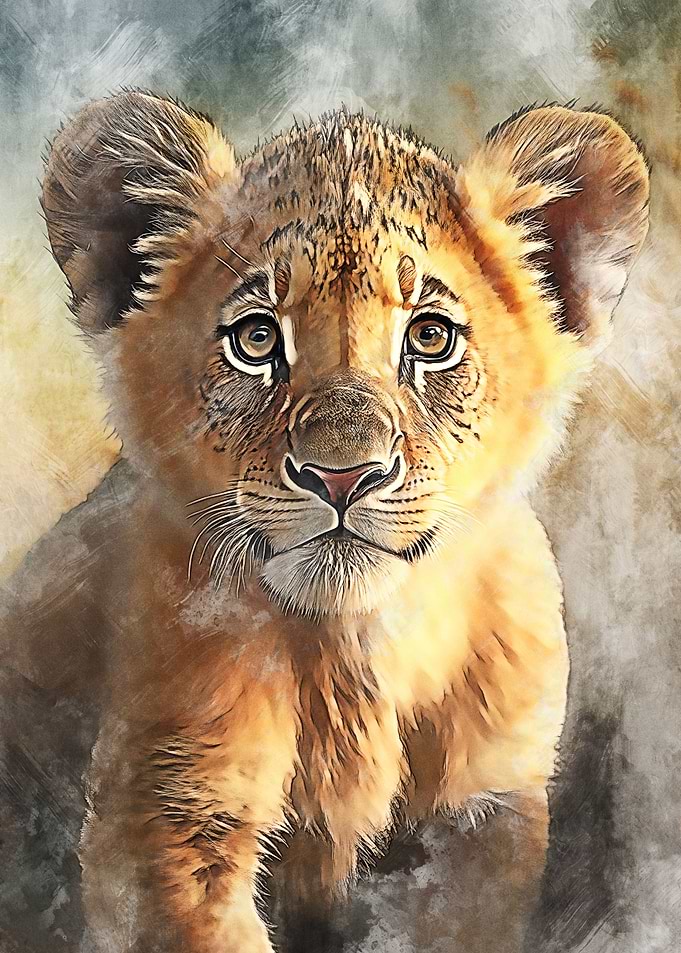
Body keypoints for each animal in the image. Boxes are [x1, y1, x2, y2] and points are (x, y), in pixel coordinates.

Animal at [0, 91, 648, 952]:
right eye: (256, 338)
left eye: (430, 337)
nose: (342, 473)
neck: (354, 652)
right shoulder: (168, 815)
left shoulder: (486, 812)